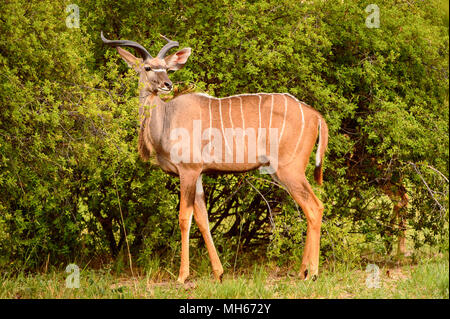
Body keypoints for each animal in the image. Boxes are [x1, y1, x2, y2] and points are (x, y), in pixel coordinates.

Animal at [101, 31, 326, 282]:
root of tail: (316, 116)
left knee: (315, 207)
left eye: (166, 68)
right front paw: (218, 273)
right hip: (282, 172)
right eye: (148, 67)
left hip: (290, 170)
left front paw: (182, 276)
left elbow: (184, 218)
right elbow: (203, 220)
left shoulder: (188, 171)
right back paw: (302, 271)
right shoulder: (198, 174)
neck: (167, 117)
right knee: (309, 209)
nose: (167, 84)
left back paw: (312, 272)